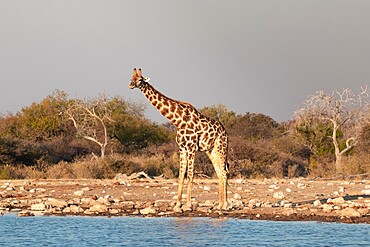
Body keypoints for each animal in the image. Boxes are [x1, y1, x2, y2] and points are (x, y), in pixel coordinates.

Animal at [129, 68, 228, 211]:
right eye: (131, 78)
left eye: (140, 79)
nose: (130, 85)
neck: (178, 121)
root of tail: (225, 131)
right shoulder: (182, 148)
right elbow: (181, 177)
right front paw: (177, 205)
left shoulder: (192, 148)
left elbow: (190, 176)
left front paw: (188, 205)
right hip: (211, 150)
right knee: (220, 172)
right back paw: (219, 205)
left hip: (221, 148)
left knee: (224, 172)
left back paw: (226, 205)